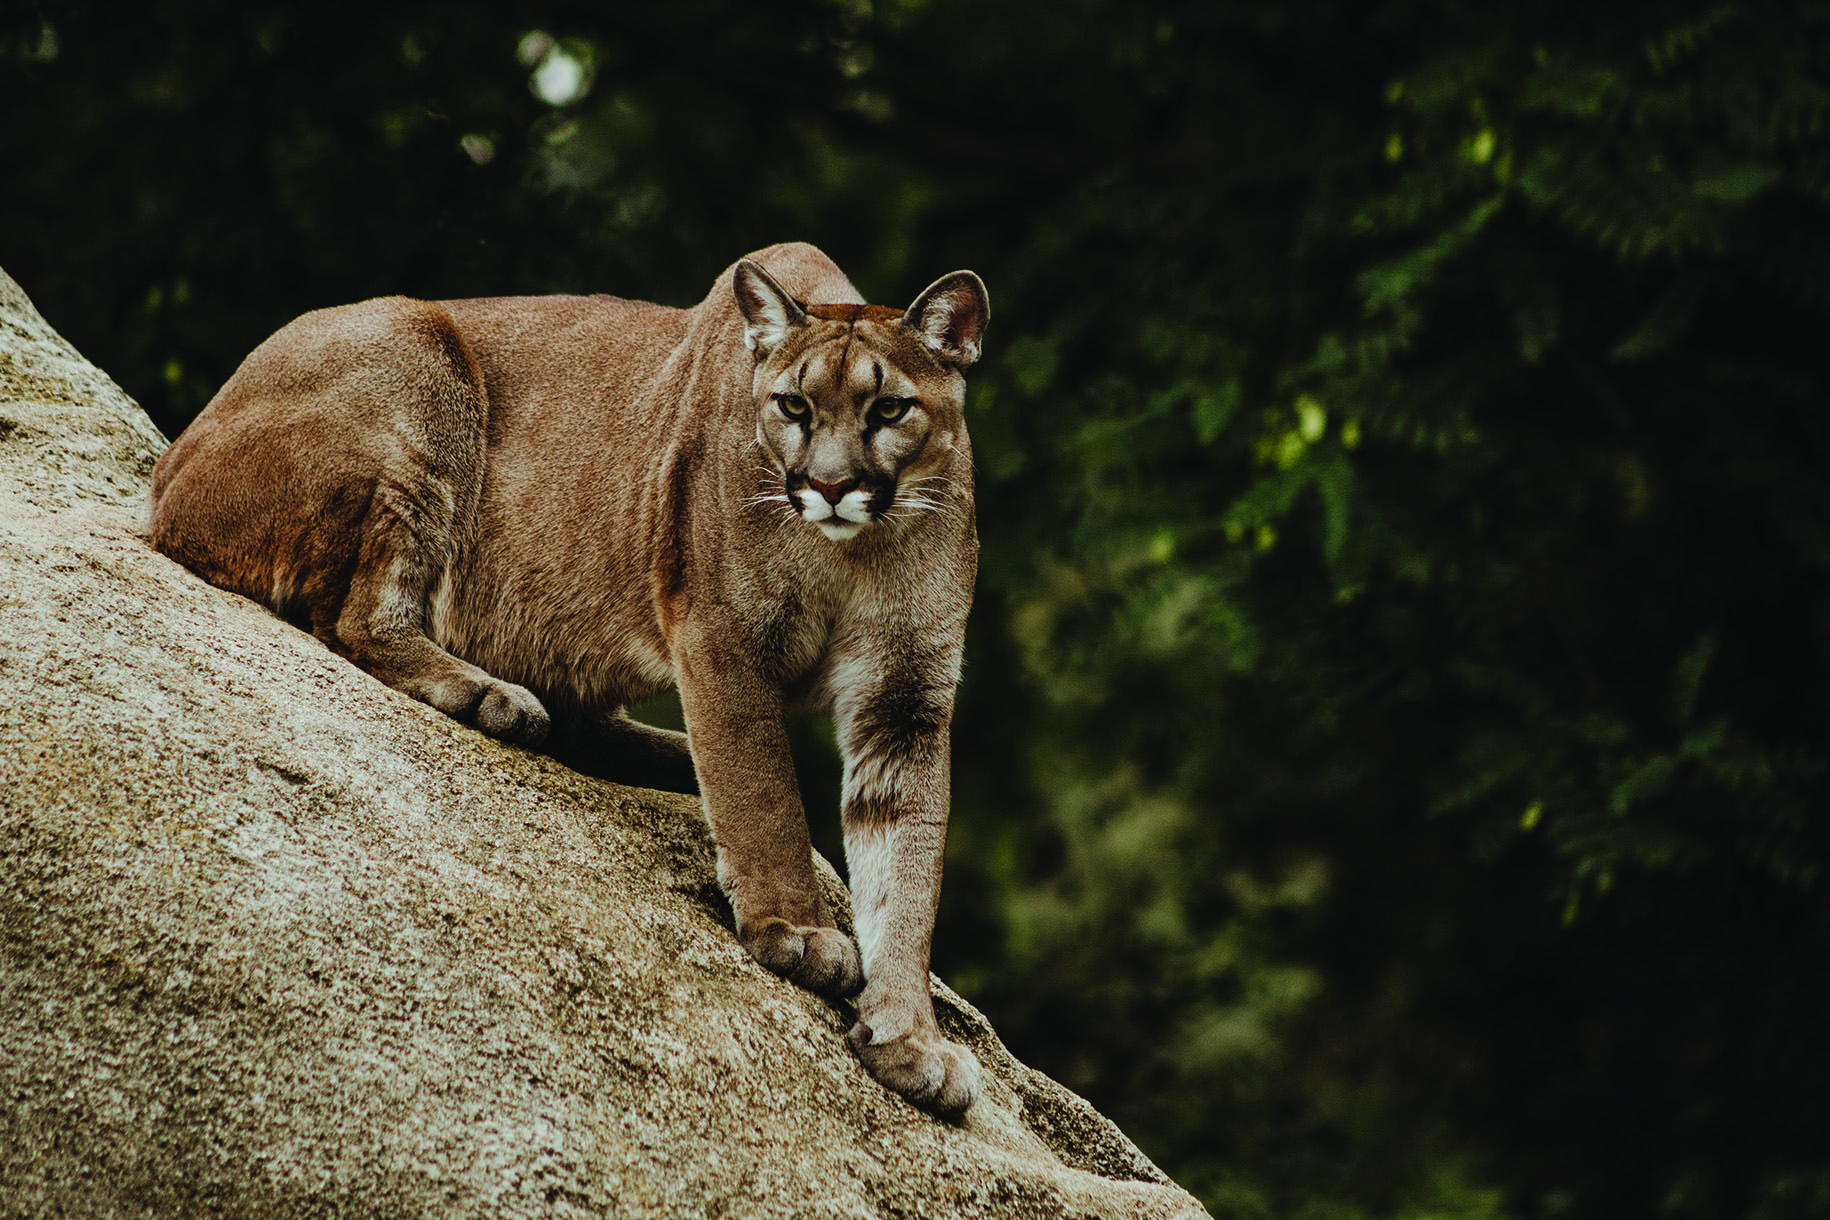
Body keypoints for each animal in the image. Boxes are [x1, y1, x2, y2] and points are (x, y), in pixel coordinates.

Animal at [150, 243, 995, 1119]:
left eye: (890, 409)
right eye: (792, 405)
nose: (828, 487)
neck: (852, 551)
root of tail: (166, 474)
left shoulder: (905, 699)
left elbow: (907, 871)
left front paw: (910, 1038)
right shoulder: (723, 639)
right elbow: (763, 796)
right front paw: (798, 931)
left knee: (582, 717)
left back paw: (654, 754)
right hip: (419, 368)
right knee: (356, 617)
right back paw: (490, 696)